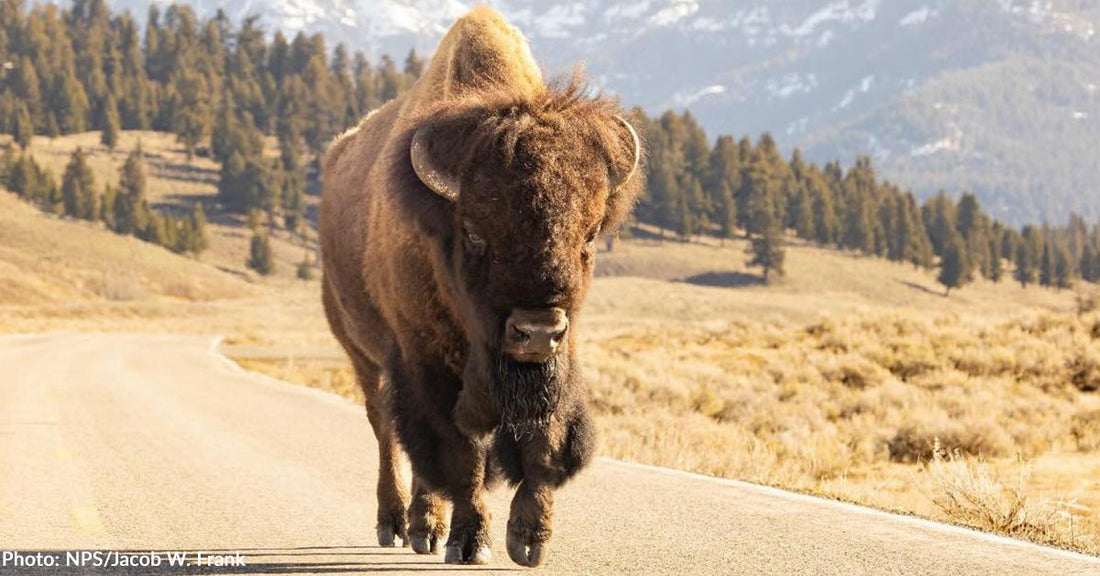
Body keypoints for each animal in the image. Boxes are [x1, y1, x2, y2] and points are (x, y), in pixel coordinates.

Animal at [319, 6, 642, 567]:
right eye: (474, 232)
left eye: (590, 235)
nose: (537, 330)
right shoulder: (428, 359)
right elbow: (461, 450)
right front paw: (470, 541)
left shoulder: (555, 365)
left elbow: (543, 440)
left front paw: (529, 540)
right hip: (362, 353)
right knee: (386, 428)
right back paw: (398, 524)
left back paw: (425, 526)